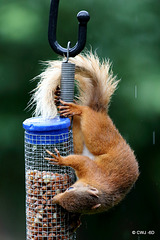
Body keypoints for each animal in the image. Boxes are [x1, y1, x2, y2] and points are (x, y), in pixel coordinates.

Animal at [31, 52, 139, 214]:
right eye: (69, 188)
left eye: (70, 207)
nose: (54, 200)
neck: (98, 186)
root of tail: (100, 111)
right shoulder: (91, 169)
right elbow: (80, 161)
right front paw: (60, 160)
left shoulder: (91, 171)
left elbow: (79, 160)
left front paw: (60, 160)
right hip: (95, 133)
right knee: (84, 113)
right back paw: (66, 103)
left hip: (89, 136)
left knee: (79, 122)